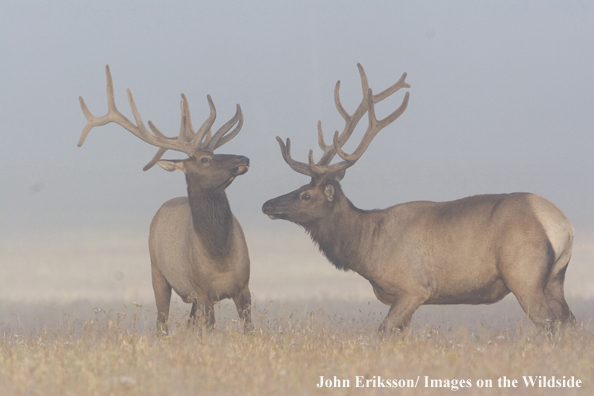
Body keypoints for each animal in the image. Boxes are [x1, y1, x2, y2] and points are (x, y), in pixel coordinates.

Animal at [77, 65, 251, 334]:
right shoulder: (202, 290)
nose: (243, 159)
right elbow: (209, 330)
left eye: (215, 152)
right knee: (162, 323)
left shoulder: (244, 287)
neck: (219, 255)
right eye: (205, 159)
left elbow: (249, 330)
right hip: (157, 273)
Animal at [262, 63, 572, 332]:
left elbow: (384, 331)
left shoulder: (413, 289)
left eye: (305, 194)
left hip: (523, 274)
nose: (267, 204)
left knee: (549, 324)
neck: (366, 247)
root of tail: (562, 225)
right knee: (569, 322)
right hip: (555, 277)